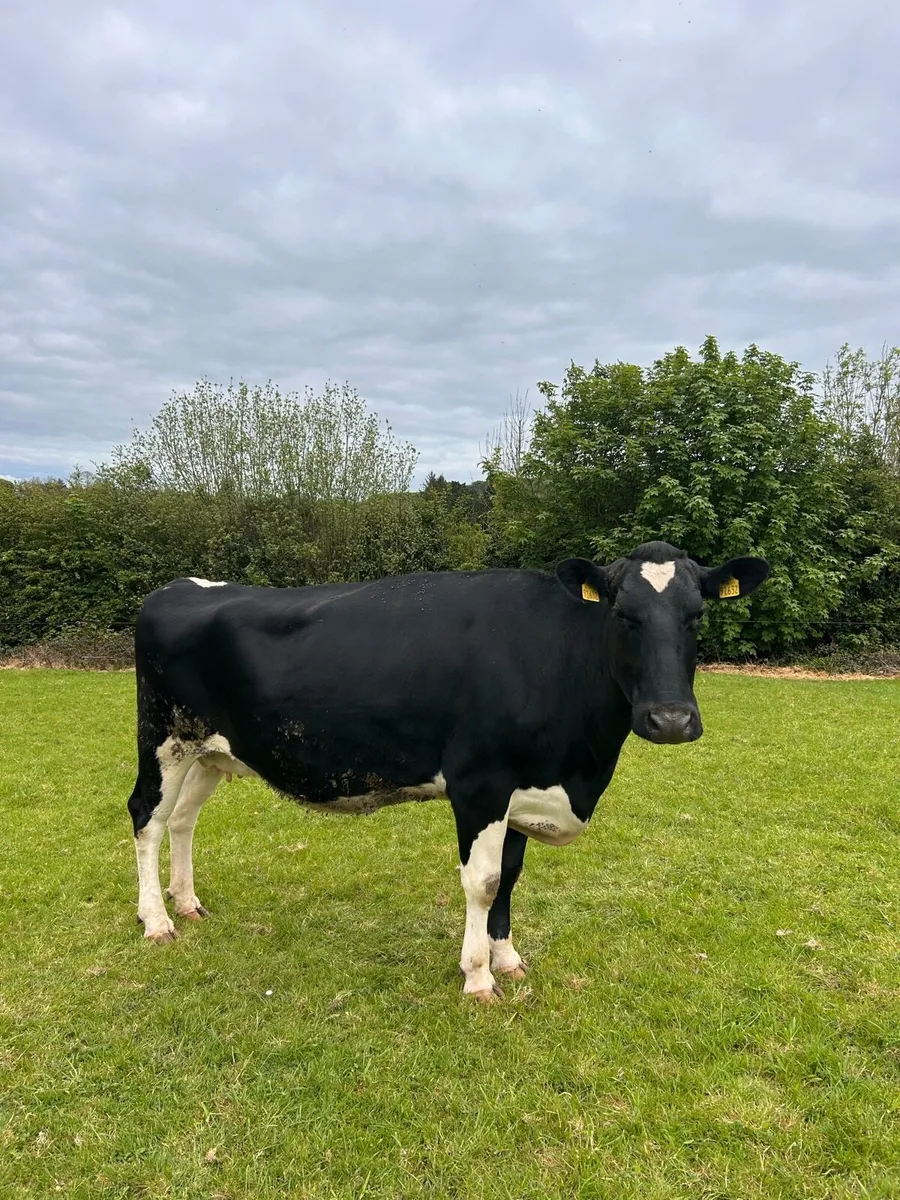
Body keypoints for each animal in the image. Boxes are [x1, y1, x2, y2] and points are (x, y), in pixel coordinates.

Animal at [127, 541, 769, 1001]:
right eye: (623, 614)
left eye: (696, 615)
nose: (670, 719)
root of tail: (180, 586)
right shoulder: (480, 783)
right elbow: (483, 881)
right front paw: (478, 977)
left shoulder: (521, 787)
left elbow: (510, 875)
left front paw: (508, 959)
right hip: (164, 738)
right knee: (146, 817)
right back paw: (157, 921)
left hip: (210, 750)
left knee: (182, 820)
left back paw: (187, 902)